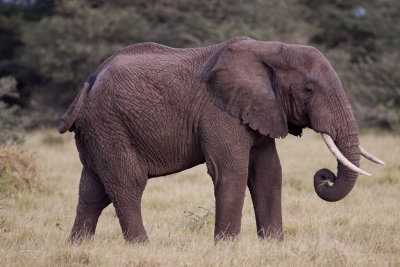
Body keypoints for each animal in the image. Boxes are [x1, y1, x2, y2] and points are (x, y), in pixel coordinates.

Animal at [59, 36, 384, 244]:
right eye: (308, 89)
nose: (325, 176)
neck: (270, 50)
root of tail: (89, 82)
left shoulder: (261, 108)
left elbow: (268, 172)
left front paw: (274, 246)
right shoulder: (219, 112)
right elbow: (231, 171)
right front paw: (227, 248)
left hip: (98, 130)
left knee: (93, 190)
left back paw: (78, 247)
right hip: (109, 124)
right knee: (128, 183)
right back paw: (143, 247)